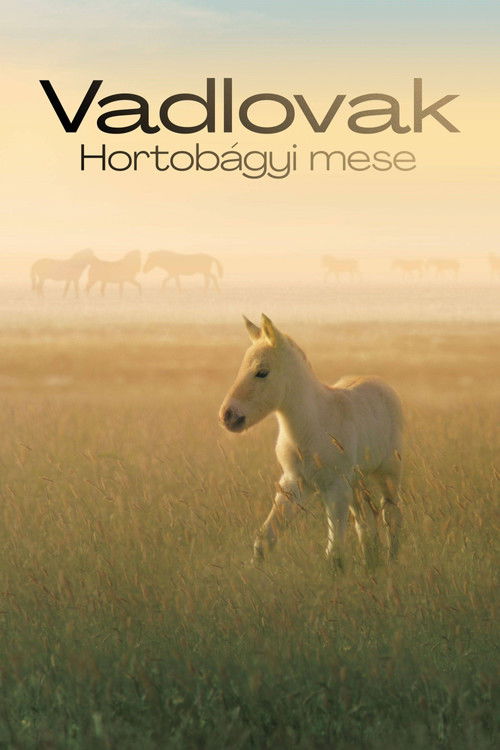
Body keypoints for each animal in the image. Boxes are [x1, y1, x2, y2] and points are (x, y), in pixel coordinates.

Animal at [219, 315, 403, 570]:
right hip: (357, 481)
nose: (228, 416)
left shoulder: (335, 487)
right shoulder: (293, 483)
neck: (311, 427)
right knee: (365, 519)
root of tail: (380, 382)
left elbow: (334, 552)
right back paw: (370, 562)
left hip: (387, 473)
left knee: (391, 515)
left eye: (262, 372)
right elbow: (265, 538)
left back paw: (391, 562)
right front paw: (253, 572)